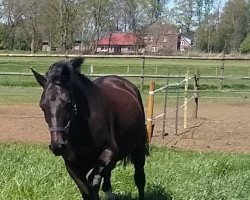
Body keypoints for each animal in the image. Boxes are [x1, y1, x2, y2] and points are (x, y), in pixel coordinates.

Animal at [32, 57, 147, 199]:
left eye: (68, 103)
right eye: (42, 105)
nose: (57, 146)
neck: (83, 132)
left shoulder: (109, 151)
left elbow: (93, 183)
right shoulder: (72, 165)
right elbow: (85, 189)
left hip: (139, 148)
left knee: (139, 178)